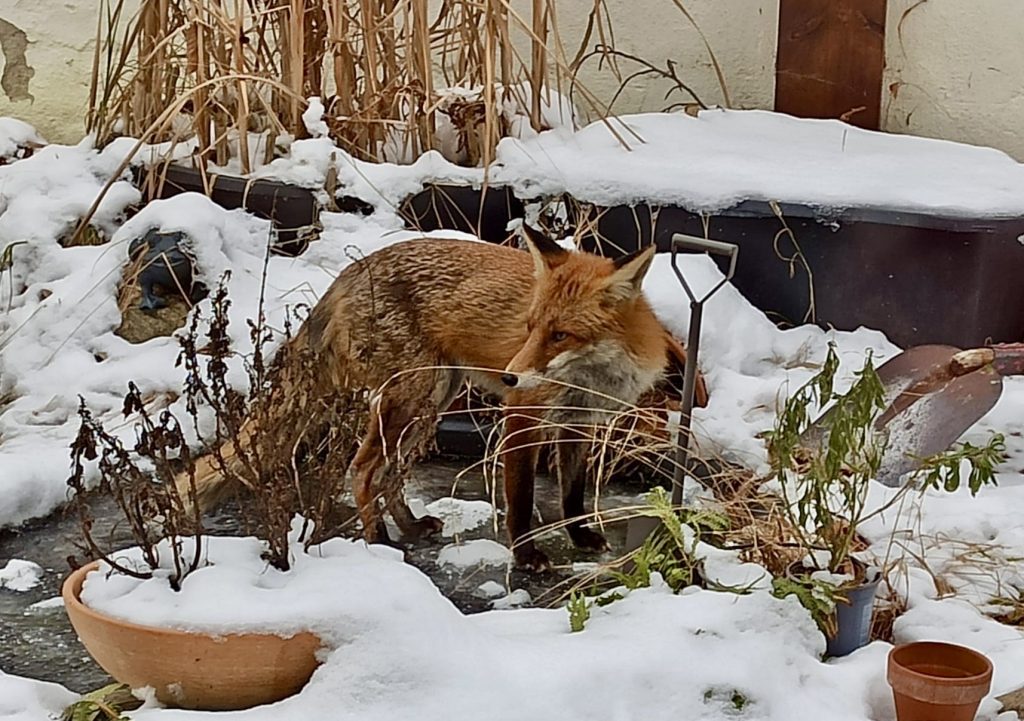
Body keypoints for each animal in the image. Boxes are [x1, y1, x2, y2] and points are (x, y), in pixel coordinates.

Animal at [178, 225, 707, 571]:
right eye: (530, 327)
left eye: (561, 334)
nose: (511, 376)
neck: (591, 376)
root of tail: (350, 271)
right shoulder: (523, 416)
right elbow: (520, 499)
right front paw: (527, 555)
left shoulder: (579, 421)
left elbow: (573, 496)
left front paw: (580, 538)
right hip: (412, 398)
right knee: (363, 470)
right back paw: (380, 543)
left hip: (431, 403)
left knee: (389, 474)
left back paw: (410, 527)